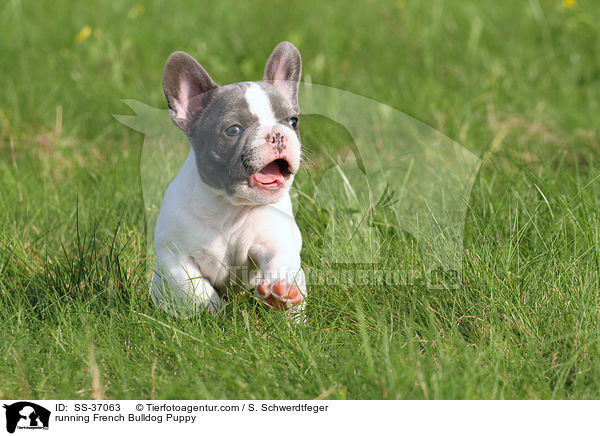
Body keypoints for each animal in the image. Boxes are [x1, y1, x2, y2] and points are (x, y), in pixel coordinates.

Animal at [152, 41, 308, 320]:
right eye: (233, 130)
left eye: (293, 121)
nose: (278, 134)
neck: (231, 208)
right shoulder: (175, 256)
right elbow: (194, 288)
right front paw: (214, 314)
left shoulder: (276, 241)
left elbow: (281, 261)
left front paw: (280, 294)